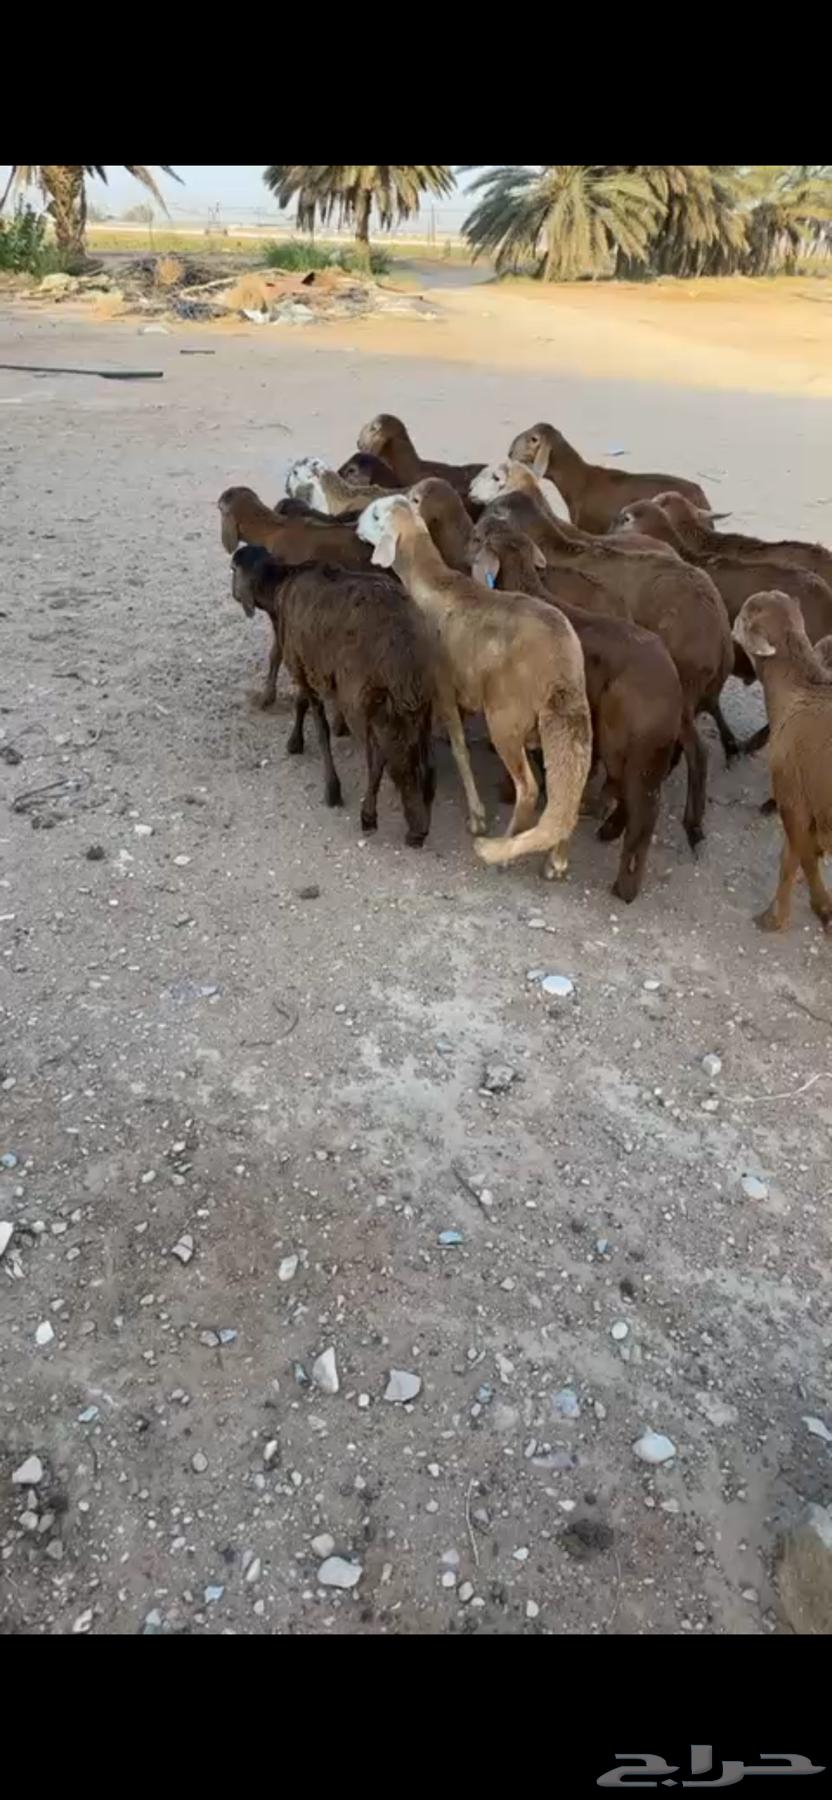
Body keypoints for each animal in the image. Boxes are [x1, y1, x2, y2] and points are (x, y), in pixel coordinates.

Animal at [229, 545, 436, 847]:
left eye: (233, 569)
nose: (232, 592)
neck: (281, 583)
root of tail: (403, 649)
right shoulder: (312, 667)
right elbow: (306, 707)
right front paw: (301, 741)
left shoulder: (302, 666)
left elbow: (317, 725)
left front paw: (330, 786)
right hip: (422, 701)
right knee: (423, 758)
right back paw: (421, 819)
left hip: (361, 699)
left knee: (378, 760)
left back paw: (372, 817)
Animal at [358, 496, 593, 882]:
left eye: (377, 515)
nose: (356, 525)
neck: (430, 581)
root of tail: (561, 669)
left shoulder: (443, 688)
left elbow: (459, 749)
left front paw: (477, 817)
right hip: (569, 719)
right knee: (571, 783)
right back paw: (556, 860)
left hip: (506, 718)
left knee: (529, 789)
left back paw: (503, 850)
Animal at [469, 519, 683, 902]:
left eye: (480, 538)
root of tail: (670, 693)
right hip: (648, 753)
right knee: (640, 800)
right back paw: (610, 833)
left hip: (621, 742)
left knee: (637, 806)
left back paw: (623, 884)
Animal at [733, 590, 832, 934]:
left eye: (743, 617)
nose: (729, 626)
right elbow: (802, 856)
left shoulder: (793, 798)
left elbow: (791, 861)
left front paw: (775, 919)